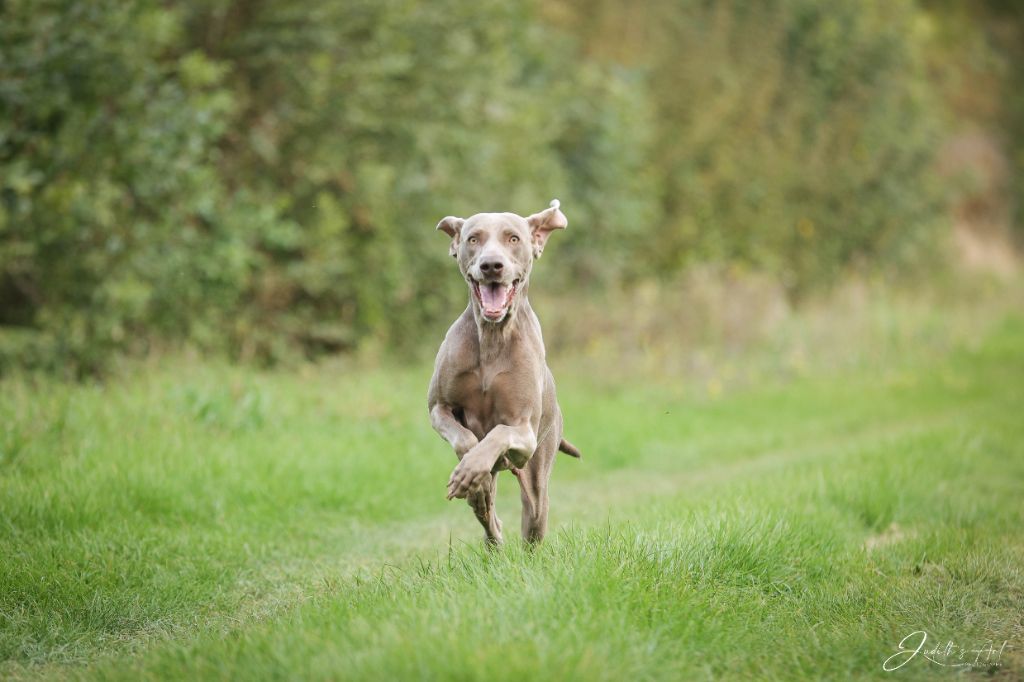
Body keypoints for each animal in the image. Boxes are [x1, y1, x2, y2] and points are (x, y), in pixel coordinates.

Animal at [428, 196, 581, 540]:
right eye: (473, 239)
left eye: (513, 238)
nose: (491, 265)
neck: (492, 337)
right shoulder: (438, 408)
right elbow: (465, 439)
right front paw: (473, 478)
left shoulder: (524, 433)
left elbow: (498, 433)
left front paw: (471, 472)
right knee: (491, 523)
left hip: (537, 480)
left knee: (532, 517)